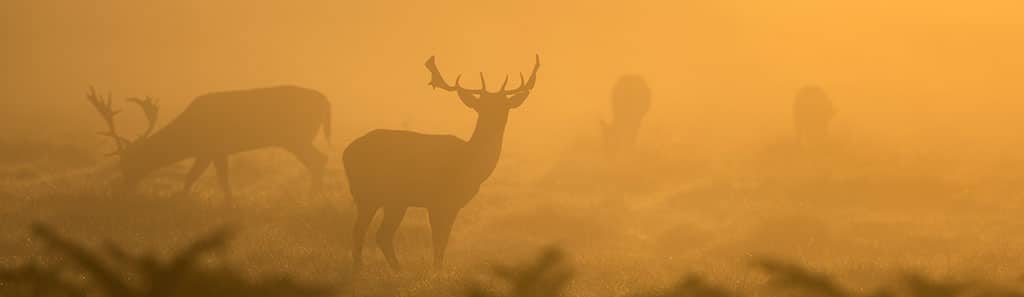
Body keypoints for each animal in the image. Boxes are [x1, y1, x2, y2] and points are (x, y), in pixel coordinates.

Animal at [87, 86, 331, 201]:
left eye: (130, 161)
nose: (121, 189)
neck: (189, 137)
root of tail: (326, 101)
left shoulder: (213, 148)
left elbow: (205, 177)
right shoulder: (209, 152)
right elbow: (201, 177)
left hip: (296, 137)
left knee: (319, 159)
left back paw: (311, 198)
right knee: (319, 160)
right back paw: (315, 196)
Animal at [342, 54, 540, 270]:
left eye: (505, 106)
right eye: (482, 106)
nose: (495, 121)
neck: (471, 163)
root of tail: (346, 153)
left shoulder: (452, 204)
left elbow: (443, 241)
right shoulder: (438, 200)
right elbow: (438, 241)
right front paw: (436, 271)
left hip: (391, 200)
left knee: (379, 234)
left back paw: (392, 269)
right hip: (370, 194)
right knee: (364, 232)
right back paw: (368, 268)